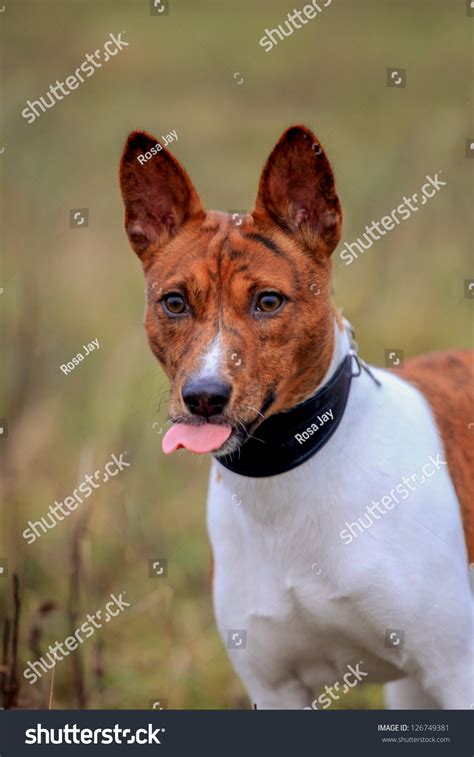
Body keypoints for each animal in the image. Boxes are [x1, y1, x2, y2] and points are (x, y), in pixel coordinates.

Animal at [119, 124, 474, 708]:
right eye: (174, 303)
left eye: (268, 301)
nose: (203, 396)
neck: (290, 474)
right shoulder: (274, 687)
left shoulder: (455, 670)